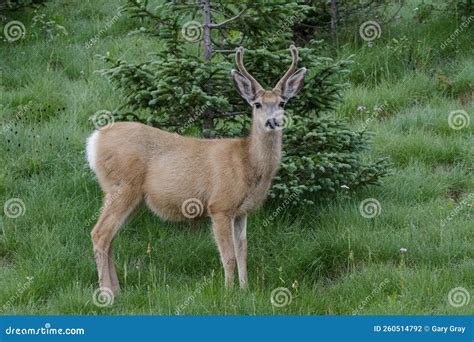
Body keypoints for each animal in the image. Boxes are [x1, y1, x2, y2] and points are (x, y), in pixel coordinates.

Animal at [86, 45, 306, 296]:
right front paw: (228, 292)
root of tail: (94, 140)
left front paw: (245, 288)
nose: (272, 122)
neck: (247, 163)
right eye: (257, 104)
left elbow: (243, 252)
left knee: (111, 236)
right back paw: (107, 294)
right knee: (100, 233)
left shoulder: (242, 212)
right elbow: (228, 255)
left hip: (133, 197)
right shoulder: (220, 205)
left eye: (282, 103)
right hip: (121, 186)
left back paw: (117, 290)